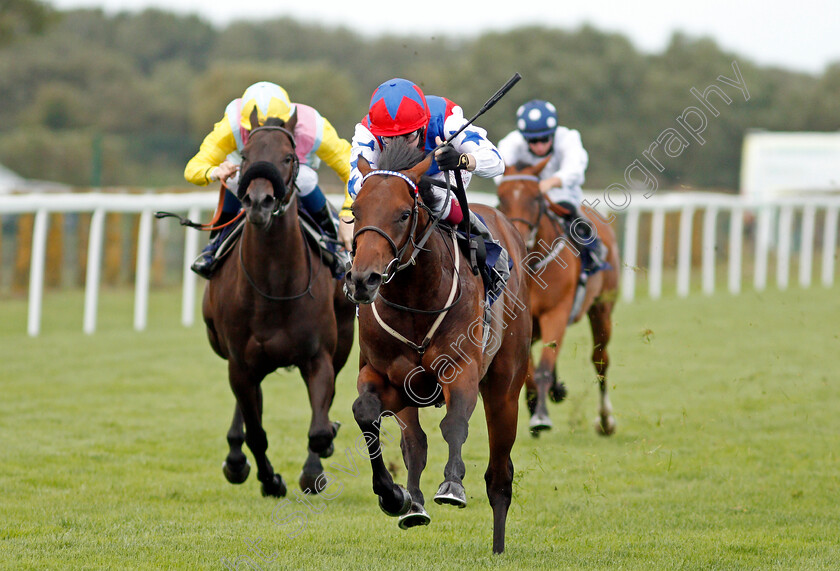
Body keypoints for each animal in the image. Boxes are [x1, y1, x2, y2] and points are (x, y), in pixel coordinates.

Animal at [202, 106, 356, 496]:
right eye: (245, 156)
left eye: (287, 157)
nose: (259, 202)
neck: (273, 287)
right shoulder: (240, 363)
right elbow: (257, 433)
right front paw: (270, 479)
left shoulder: (318, 356)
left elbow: (318, 430)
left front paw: (316, 462)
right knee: (248, 408)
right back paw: (235, 458)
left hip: (344, 340)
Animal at [342, 142, 532, 556]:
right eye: (356, 211)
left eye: (403, 213)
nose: (363, 280)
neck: (413, 299)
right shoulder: (387, 377)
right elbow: (367, 413)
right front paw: (393, 495)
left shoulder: (461, 368)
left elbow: (455, 423)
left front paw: (452, 485)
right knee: (415, 443)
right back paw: (413, 506)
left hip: (505, 387)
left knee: (500, 473)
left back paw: (497, 546)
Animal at [496, 161, 620, 438]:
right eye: (501, 197)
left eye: (536, 197)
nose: (518, 237)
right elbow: (528, 371)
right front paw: (535, 406)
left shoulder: (556, 312)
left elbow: (543, 367)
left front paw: (540, 415)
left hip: (602, 308)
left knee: (601, 360)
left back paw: (605, 419)